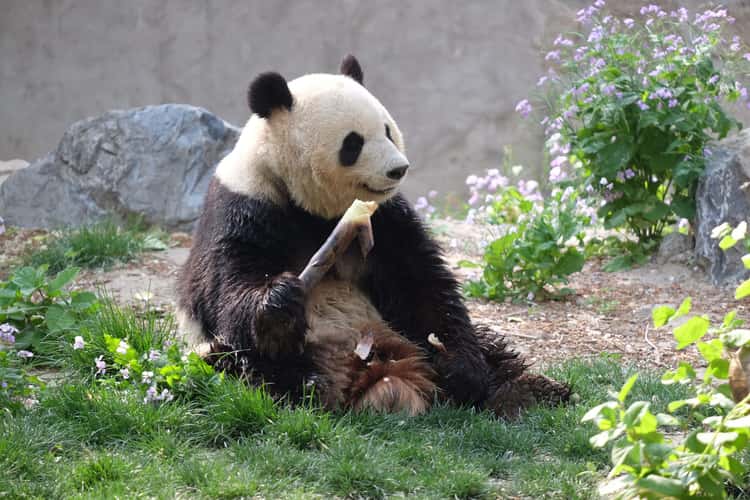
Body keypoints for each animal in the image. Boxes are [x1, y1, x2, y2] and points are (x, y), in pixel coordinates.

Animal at [177, 55, 569, 417]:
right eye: (353, 143)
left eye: (388, 130)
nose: (399, 169)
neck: (312, 207)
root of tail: (382, 377)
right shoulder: (245, 205)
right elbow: (229, 284)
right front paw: (280, 304)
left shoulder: (386, 216)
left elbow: (423, 284)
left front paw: (463, 369)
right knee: (236, 363)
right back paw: (305, 383)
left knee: (488, 346)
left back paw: (528, 390)